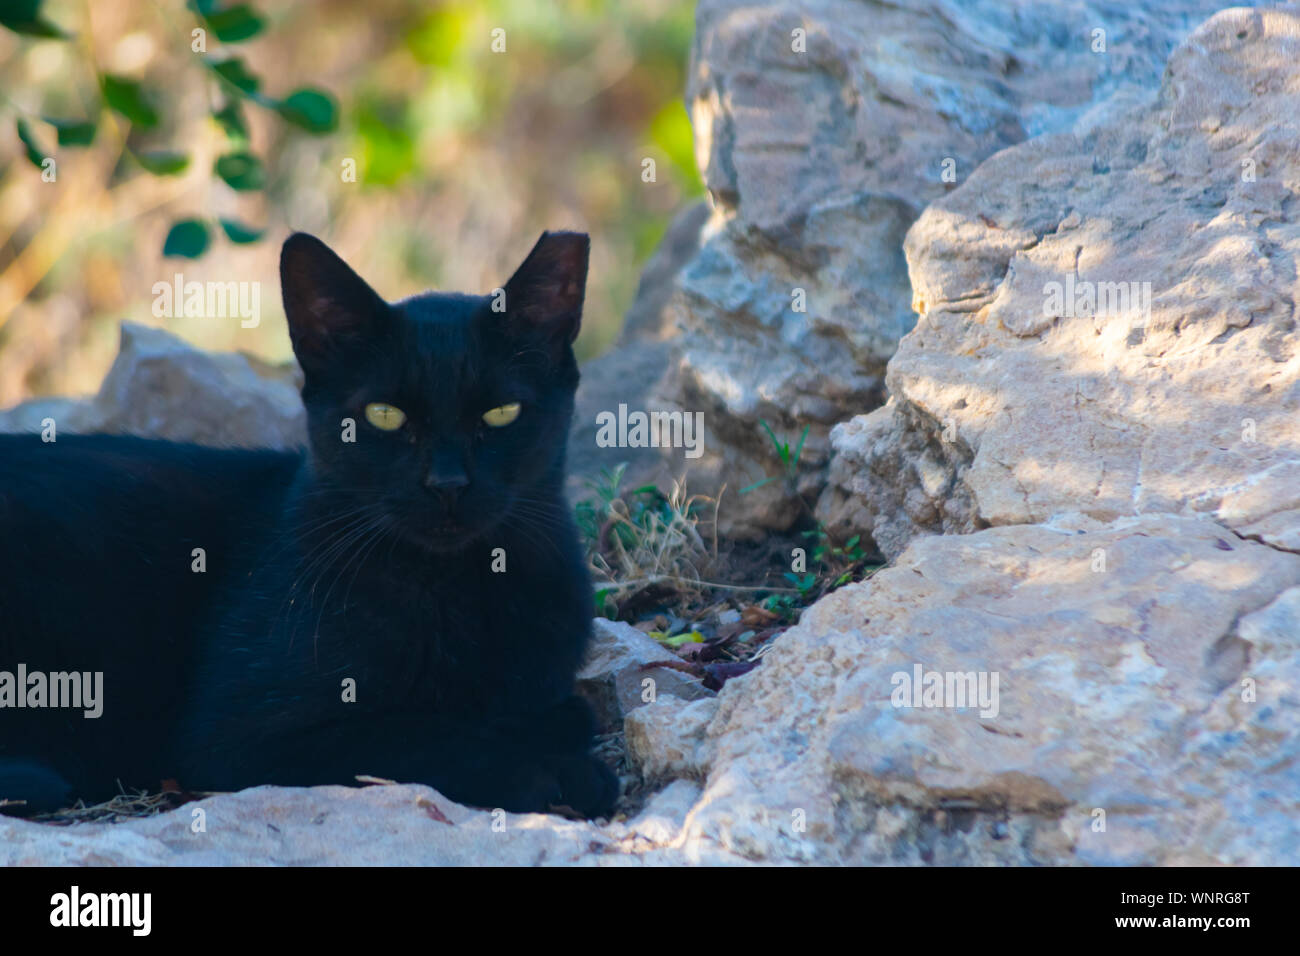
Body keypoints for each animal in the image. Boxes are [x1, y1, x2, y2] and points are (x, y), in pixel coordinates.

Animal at [0, 235, 616, 816]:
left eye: (501, 413)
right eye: (384, 416)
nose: (447, 484)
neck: (456, 590)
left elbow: (546, 711)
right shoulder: (243, 736)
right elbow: (421, 734)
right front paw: (550, 768)